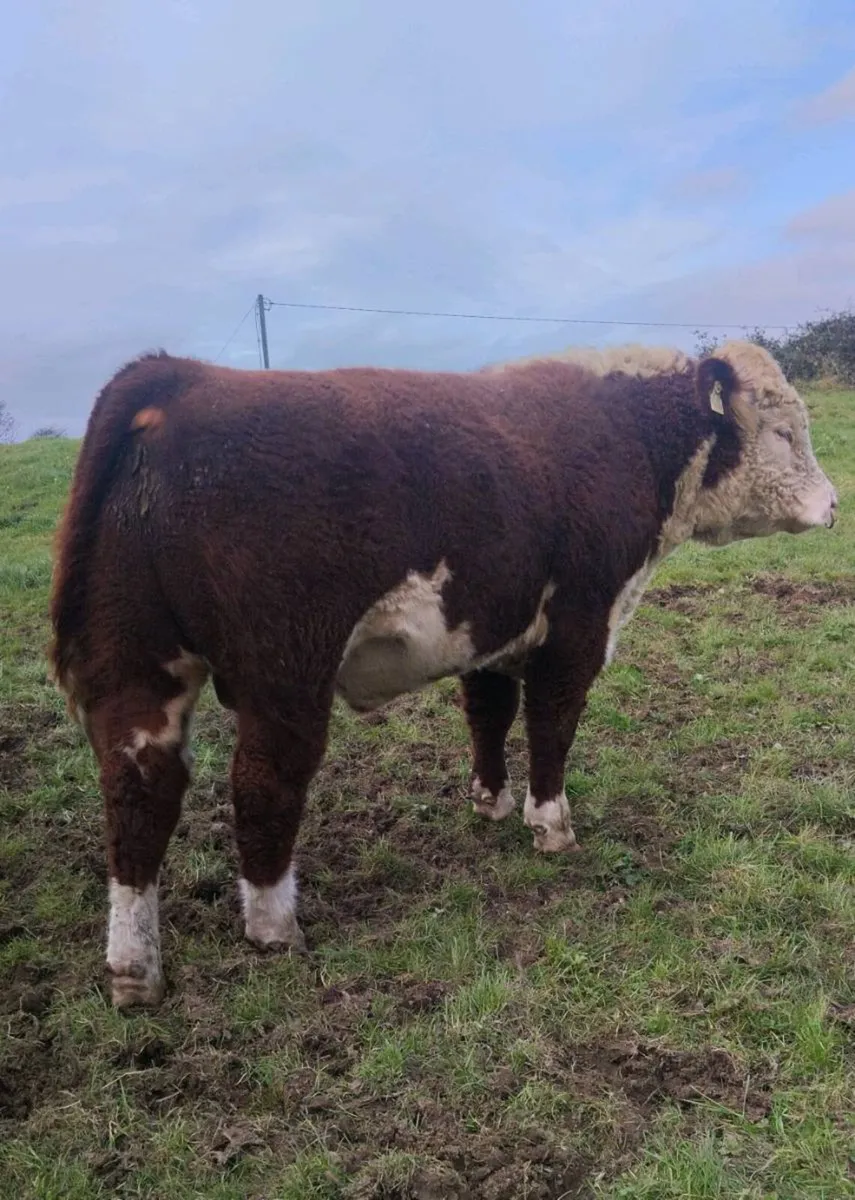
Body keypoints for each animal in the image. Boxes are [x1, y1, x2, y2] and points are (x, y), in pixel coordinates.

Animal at [49, 339, 837, 1008]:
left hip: (138, 664)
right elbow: (551, 722)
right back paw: (275, 926)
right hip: (285, 667)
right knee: (264, 781)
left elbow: (487, 712)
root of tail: (181, 378)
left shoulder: (490, 630)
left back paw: (134, 971)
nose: (833, 505)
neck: (628, 435)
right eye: (781, 433)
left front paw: (489, 802)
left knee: (139, 788)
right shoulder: (580, 622)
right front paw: (550, 825)